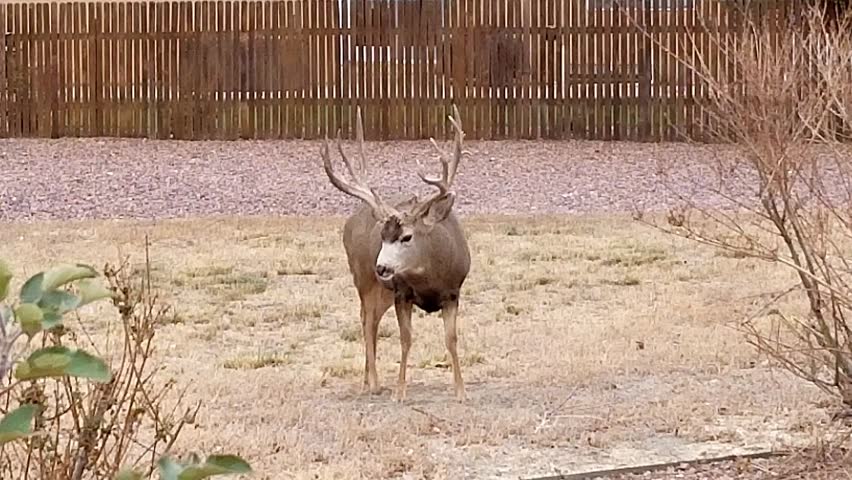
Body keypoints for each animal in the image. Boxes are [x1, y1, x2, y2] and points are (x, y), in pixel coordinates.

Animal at [319, 105, 471, 403]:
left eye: (406, 237)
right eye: (382, 236)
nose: (381, 267)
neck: (430, 276)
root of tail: (351, 220)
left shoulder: (453, 292)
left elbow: (451, 339)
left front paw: (460, 390)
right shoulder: (402, 293)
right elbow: (405, 339)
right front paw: (400, 392)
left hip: (382, 291)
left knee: (372, 320)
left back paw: (367, 380)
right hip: (363, 279)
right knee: (367, 322)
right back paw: (374, 383)